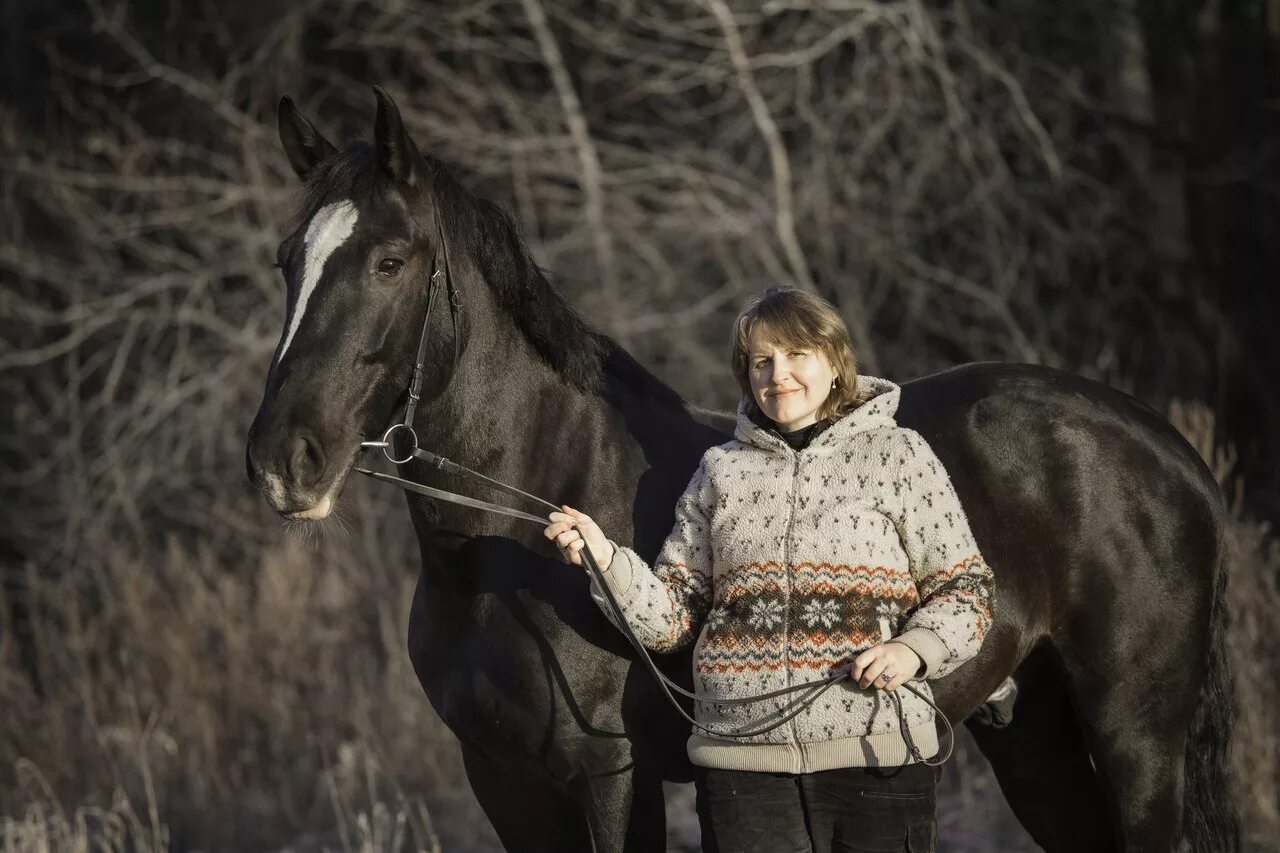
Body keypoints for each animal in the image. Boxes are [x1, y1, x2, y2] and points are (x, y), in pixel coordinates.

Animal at [244, 89, 1233, 845]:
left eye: (390, 260)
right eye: (288, 260)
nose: (282, 460)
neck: (503, 538)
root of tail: (1170, 451)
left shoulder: (610, 771)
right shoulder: (504, 779)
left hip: (1136, 738)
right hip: (1032, 734)